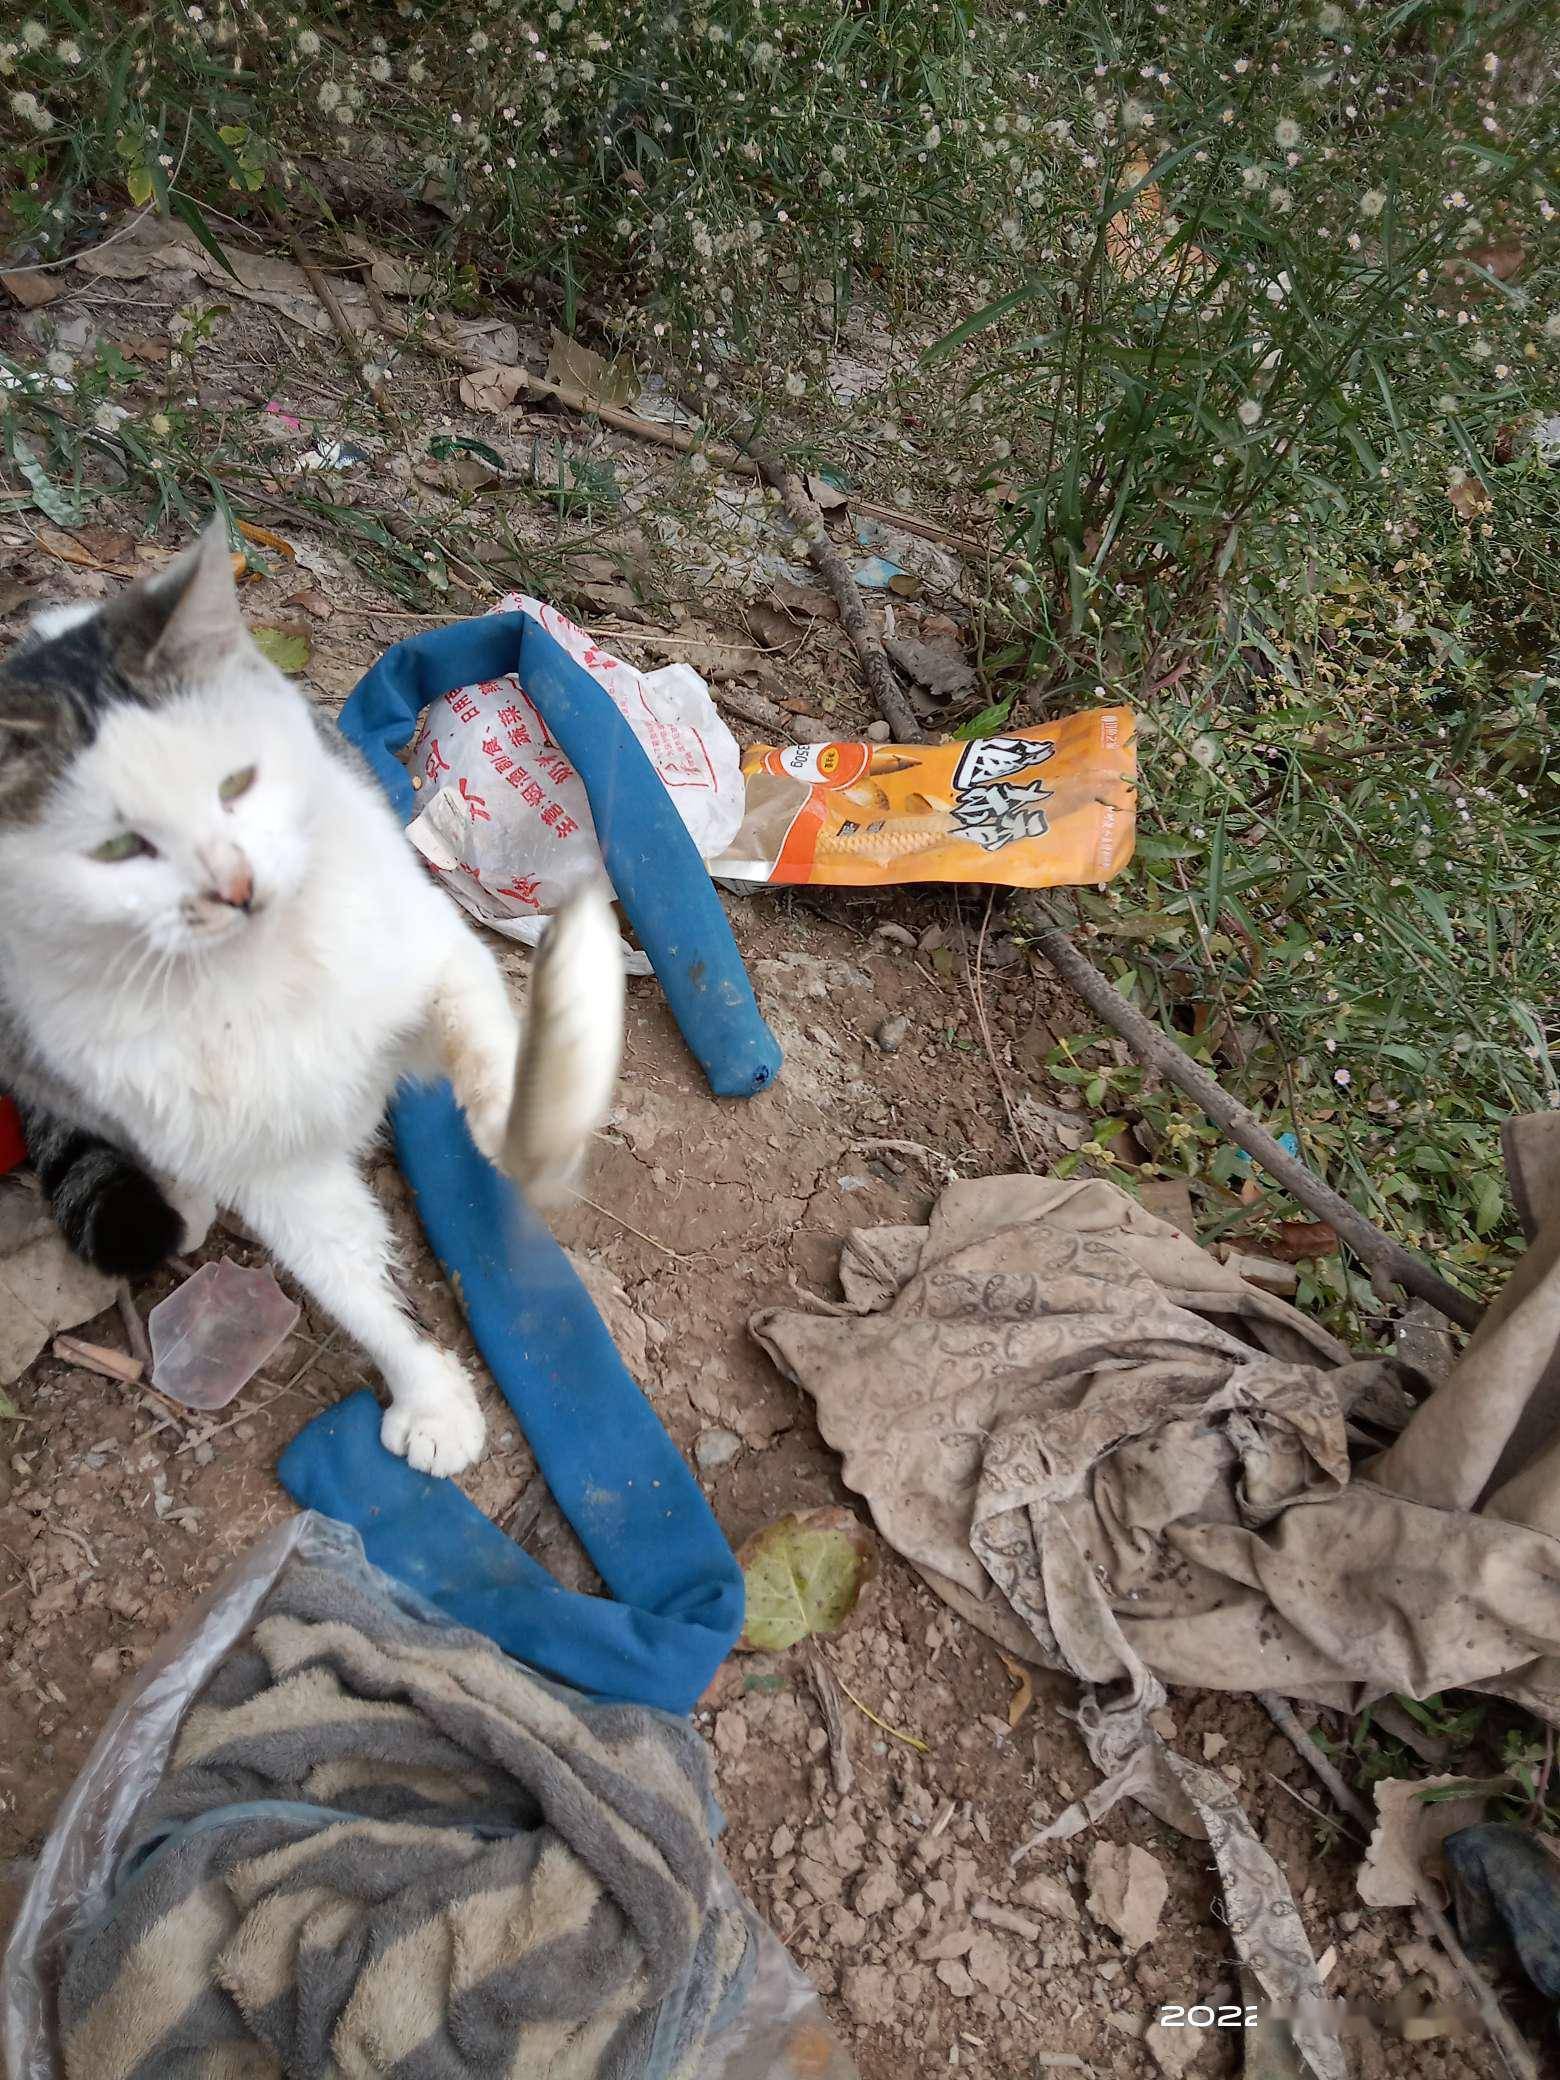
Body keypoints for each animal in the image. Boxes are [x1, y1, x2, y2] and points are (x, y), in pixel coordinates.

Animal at [0, 536, 624, 1480]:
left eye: (237, 783)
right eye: (116, 848)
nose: (236, 884)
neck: (256, 974)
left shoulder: (429, 946)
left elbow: (485, 1034)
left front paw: (525, 1120)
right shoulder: (275, 1165)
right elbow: (348, 1278)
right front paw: (428, 1394)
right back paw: (182, 1194)